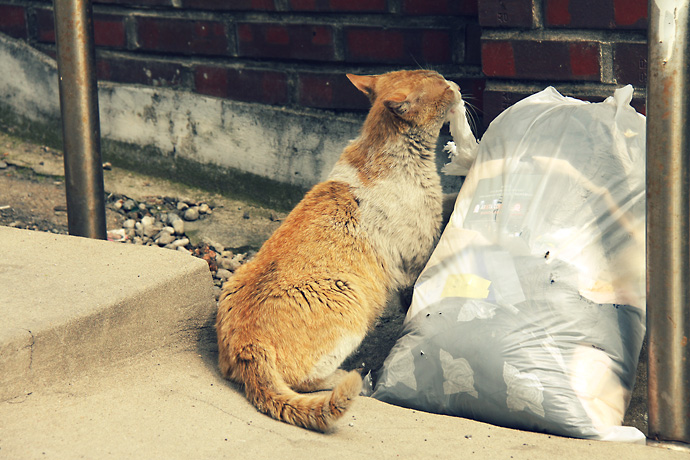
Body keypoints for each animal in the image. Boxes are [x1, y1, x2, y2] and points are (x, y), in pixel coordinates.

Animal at [215, 69, 462, 432]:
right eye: (442, 83)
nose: (456, 85)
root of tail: (246, 346)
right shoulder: (416, 259)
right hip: (351, 302)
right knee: (306, 382)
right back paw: (350, 375)